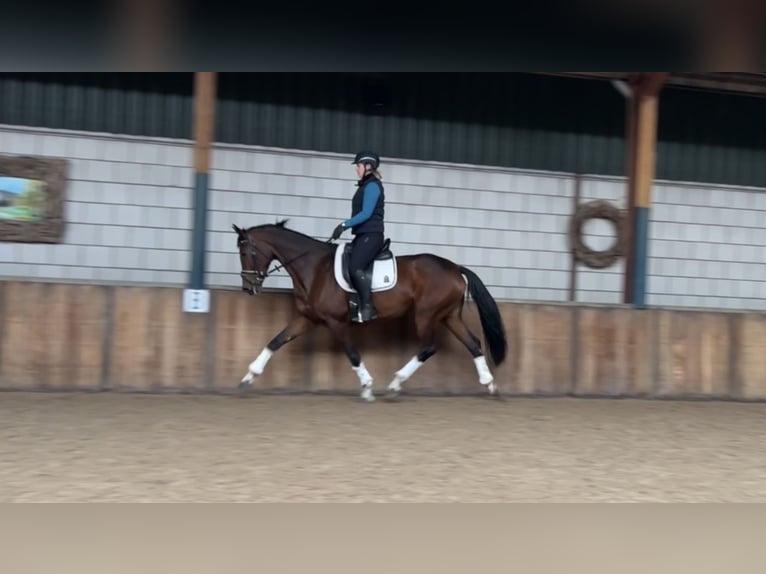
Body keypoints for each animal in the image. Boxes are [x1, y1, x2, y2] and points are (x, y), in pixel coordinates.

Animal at [234, 218, 510, 402]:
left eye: (246, 251)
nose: (248, 287)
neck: (314, 268)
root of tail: (455, 268)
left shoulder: (336, 322)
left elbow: (352, 354)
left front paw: (367, 387)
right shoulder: (307, 318)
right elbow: (275, 341)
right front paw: (247, 378)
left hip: (426, 314)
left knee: (429, 347)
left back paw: (395, 384)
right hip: (449, 316)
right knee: (473, 343)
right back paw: (490, 385)